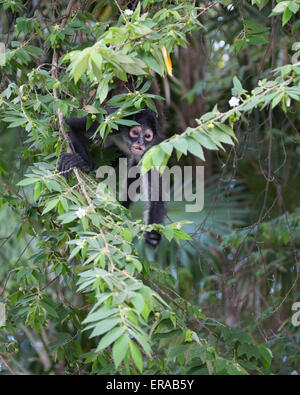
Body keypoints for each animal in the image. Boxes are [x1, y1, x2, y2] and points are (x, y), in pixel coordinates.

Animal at [58, 98, 166, 249]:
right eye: (135, 132)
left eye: (147, 136)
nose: (140, 142)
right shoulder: (116, 123)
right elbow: (73, 125)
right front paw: (84, 162)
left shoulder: (150, 150)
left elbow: (156, 196)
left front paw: (153, 235)